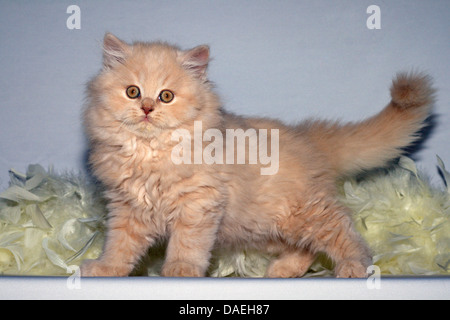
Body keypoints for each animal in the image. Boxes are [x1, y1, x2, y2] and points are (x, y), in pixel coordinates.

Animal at [80, 33, 432, 278]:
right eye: (133, 91)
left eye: (166, 96)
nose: (147, 109)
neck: (149, 153)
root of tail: (308, 137)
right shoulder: (126, 208)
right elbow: (119, 246)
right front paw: (104, 269)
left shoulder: (199, 205)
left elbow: (187, 246)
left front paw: (179, 272)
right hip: (264, 225)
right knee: (304, 249)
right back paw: (282, 271)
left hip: (305, 213)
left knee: (345, 233)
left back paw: (353, 267)